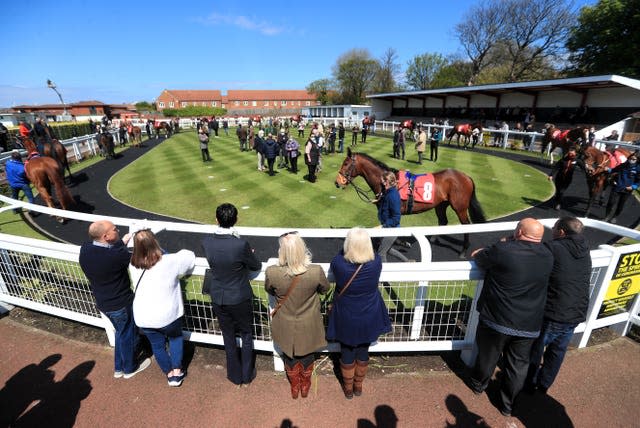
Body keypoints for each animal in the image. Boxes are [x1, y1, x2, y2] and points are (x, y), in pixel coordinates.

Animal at [336, 148, 484, 258]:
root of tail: (466, 177)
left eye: (346, 164)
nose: (337, 182)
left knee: (466, 225)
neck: (389, 184)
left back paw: (463, 251)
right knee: (443, 220)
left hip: (460, 208)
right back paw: (433, 239)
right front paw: (401, 242)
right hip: (441, 204)